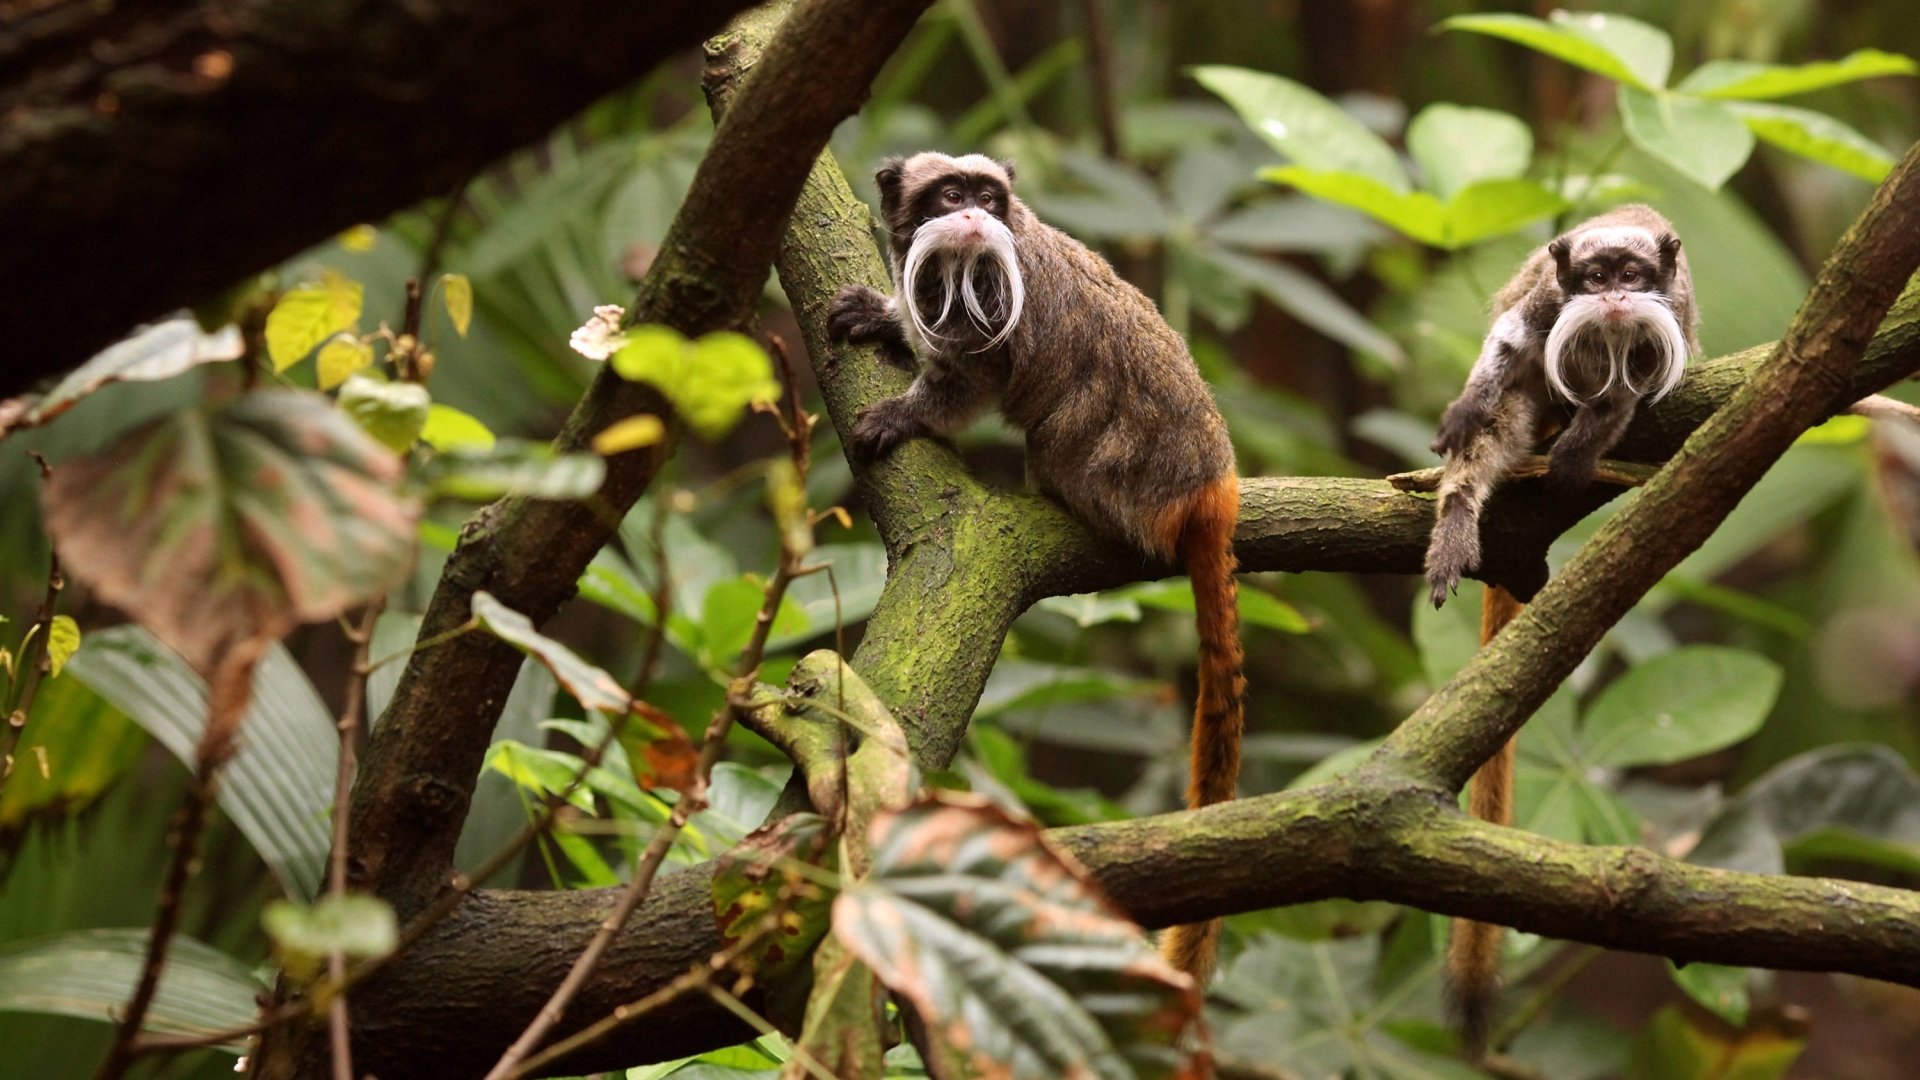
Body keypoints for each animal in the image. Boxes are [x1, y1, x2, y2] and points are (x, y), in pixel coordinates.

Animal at [827, 152, 1246, 982]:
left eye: (989, 200)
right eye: (949, 196)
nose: (973, 216)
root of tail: (1207, 480)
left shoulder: (989, 301)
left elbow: (972, 383)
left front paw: (903, 415)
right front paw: (883, 316)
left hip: (1113, 465)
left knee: (1058, 427)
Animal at [1424, 204, 1699, 1057]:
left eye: (1632, 276)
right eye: (1596, 274)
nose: (1611, 299)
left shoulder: (1668, 318)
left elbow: (1626, 399)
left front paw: (1586, 443)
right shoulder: (1549, 297)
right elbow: (1510, 341)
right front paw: (1469, 405)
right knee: (1501, 417)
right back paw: (1456, 520)